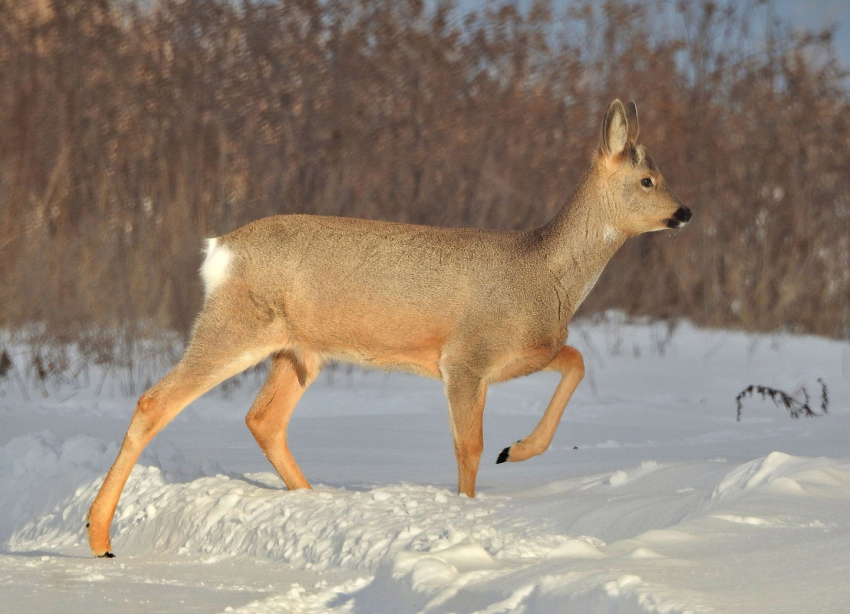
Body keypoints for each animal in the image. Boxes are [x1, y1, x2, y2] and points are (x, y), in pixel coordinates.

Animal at [89, 100, 692, 560]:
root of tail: (219, 252)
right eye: (647, 179)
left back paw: (315, 501)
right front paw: (469, 506)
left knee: (263, 418)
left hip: (300, 351)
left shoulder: (528, 352)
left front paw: (517, 450)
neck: (542, 271)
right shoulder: (465, 358)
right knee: (155, 402)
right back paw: (99, 537)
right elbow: (468, 447)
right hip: (234, 327)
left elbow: (577, 362)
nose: (685, 211)